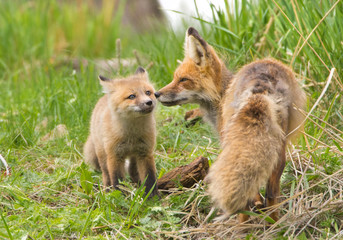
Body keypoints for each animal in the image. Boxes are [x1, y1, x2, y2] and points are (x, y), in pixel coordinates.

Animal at [83, 66, 159, 196]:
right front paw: (120, 196)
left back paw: (137, 184)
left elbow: (149, 177)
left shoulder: (145, 152)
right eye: (132, 96)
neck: (132, 135)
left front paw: (152, 196)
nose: (149, 102)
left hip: (135, 156)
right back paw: (107, 190)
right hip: (103, 155)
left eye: (148, 92)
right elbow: (117, 179)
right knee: (106, 174)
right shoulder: (114, 155)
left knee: (132, 170)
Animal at [156, 27, 306, 221]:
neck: (221, 95)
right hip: (278, 144)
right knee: (272, 191)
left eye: (183, 80)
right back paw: (274, 224)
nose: (156, 94)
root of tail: (262, 82)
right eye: (175, 78)